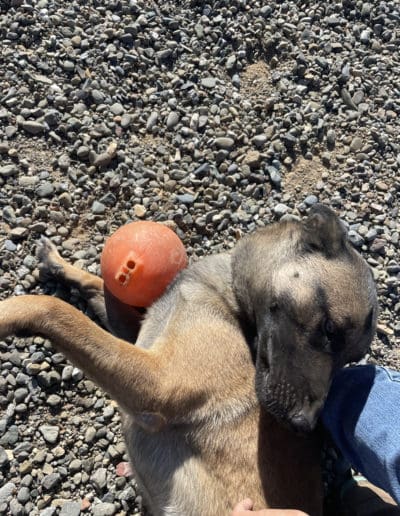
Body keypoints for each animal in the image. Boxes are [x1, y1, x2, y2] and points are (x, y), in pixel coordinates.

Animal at [0, 206, 376, 516]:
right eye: (330, 330)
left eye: (350, 357)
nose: (304, 424)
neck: (234, 305)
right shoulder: (139, 333)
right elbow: (97, 287)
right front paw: (58, 263)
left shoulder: (159, 384)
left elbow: (55, 309)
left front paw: (9, 312)